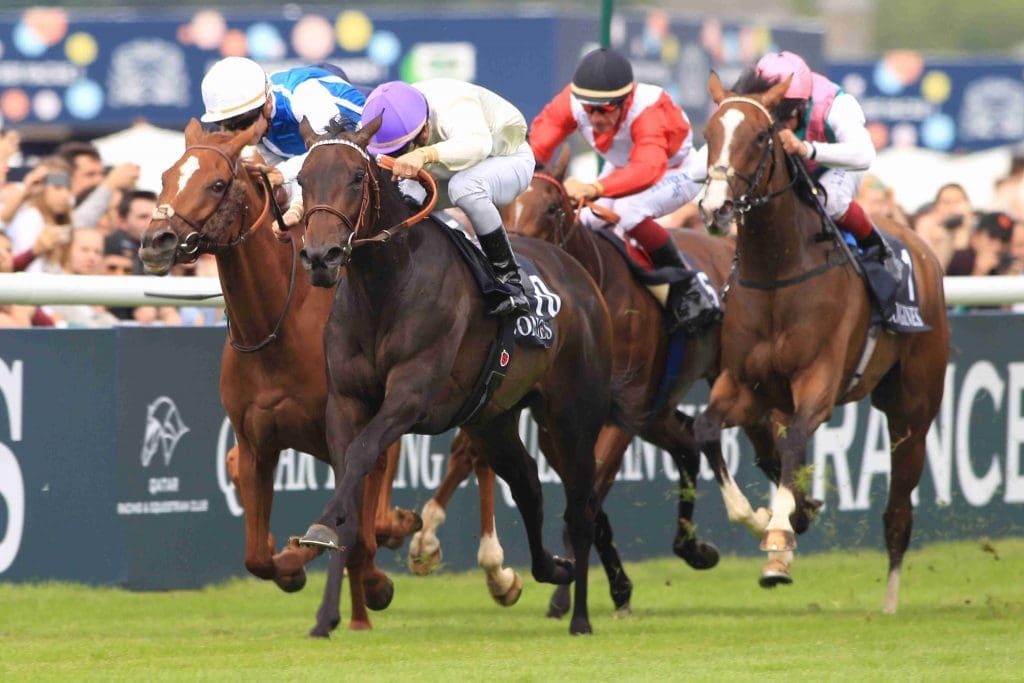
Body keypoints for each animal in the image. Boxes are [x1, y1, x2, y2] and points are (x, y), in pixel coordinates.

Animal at [139, 120, 419, 638]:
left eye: (217, 184)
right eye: (167, 176)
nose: (155, 241)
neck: (276, 327)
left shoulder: (345, 436)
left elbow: (354, 534)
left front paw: (371, 579)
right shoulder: (255, 444)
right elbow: (257, 557)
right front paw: (290, 565)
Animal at [288, 118, 622, 634]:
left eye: (357, 178)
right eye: (303, 179)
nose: (321, 257)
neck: (385, 288)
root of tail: (580, 276)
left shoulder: (410, 395)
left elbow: (364, 451)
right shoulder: (344, 401)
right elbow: (348, 477)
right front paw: (326, 614)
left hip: (573, 419)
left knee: (581, 507)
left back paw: (580, 616)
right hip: (492, 420)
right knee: (527, 481)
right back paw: (547, 568)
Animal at [696, 72, 950, 610]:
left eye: (760, 136)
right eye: (707, 134)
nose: (714, 209)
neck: (777, 272)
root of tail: (922, 248)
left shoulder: (819, 383)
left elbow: (793, 445)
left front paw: (778, 533)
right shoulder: (743, 385)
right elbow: (707, 433)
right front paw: (766, 521)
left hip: (913, 410)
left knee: (899, 510)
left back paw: (890, 601)